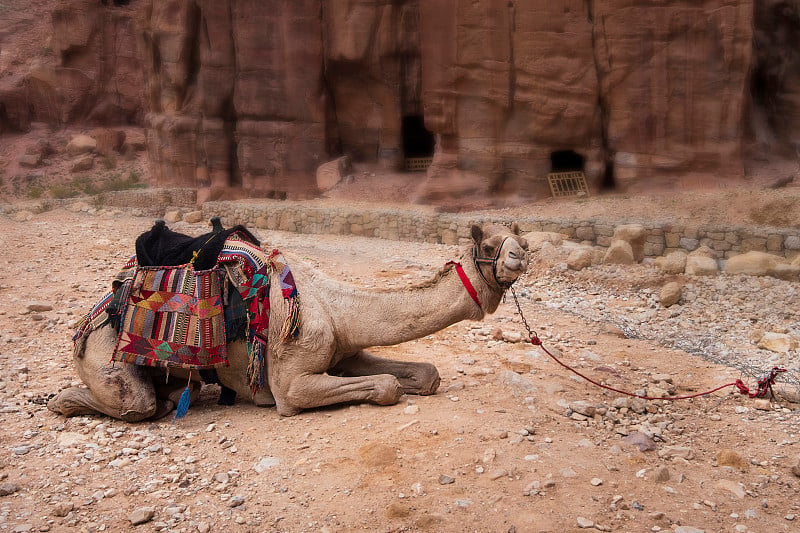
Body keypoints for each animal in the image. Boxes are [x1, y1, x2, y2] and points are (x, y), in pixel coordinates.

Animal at [47, 221, 528, 420]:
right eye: (490, 245)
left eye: (517, 239)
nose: (521, 254)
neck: (334, 305)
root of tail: (87, 322)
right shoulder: (290, 381)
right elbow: (386, 386)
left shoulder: (345, 351)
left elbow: (426, 374)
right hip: (102, 352)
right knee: (136, 403)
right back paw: (63, 402)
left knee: (174, 392)